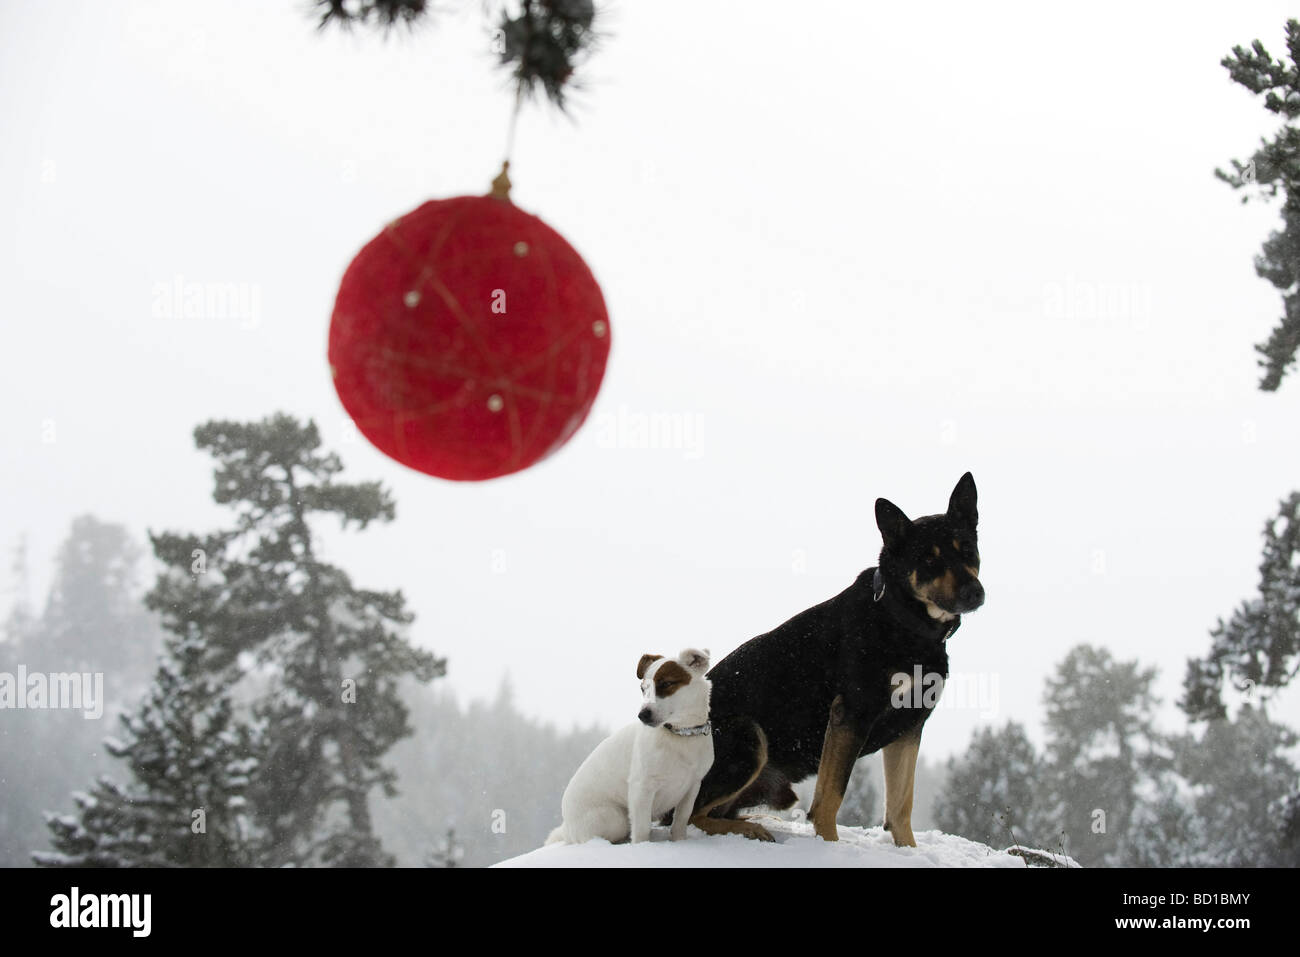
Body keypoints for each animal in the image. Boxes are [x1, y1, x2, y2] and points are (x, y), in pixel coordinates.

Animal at [546, 650, 717, 842]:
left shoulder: (692, 786)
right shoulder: (641, 787)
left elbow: (681, 819)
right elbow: (641, 828)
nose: (642, 715)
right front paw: (642, 846)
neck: (680, 735)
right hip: (615, 818)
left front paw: (679, 841)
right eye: (643, 689)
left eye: (666, 683)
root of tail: (567, 828)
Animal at [691, 473, 982, 842]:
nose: (975, 594)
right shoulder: (851, 715)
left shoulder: (909, 725)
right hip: (749, 738)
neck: (902, 619)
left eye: (968, 550)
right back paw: (751, 829)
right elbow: (830, 799)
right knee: (689, 815)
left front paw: (908, 849)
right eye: (928, 560)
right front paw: (829, 845)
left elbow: (900, 807)